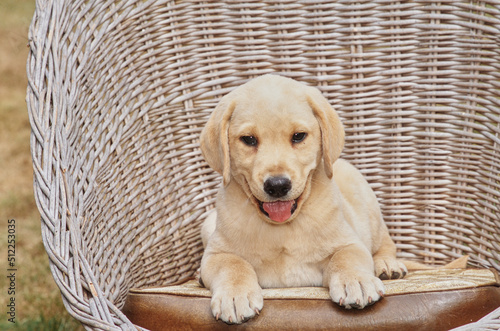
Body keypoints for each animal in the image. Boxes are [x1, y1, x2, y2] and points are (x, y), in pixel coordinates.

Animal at [198, 74, 406, 324]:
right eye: (248, 139)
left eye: (298, 136)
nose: (277, 186)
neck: (282, 228)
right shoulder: (216, 254)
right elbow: (232, 264)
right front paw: (234, 295)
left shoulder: (350, 242)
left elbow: (345, 257)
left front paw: (356, 281)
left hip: (371, 211)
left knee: (386, 243)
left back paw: (387, 264)